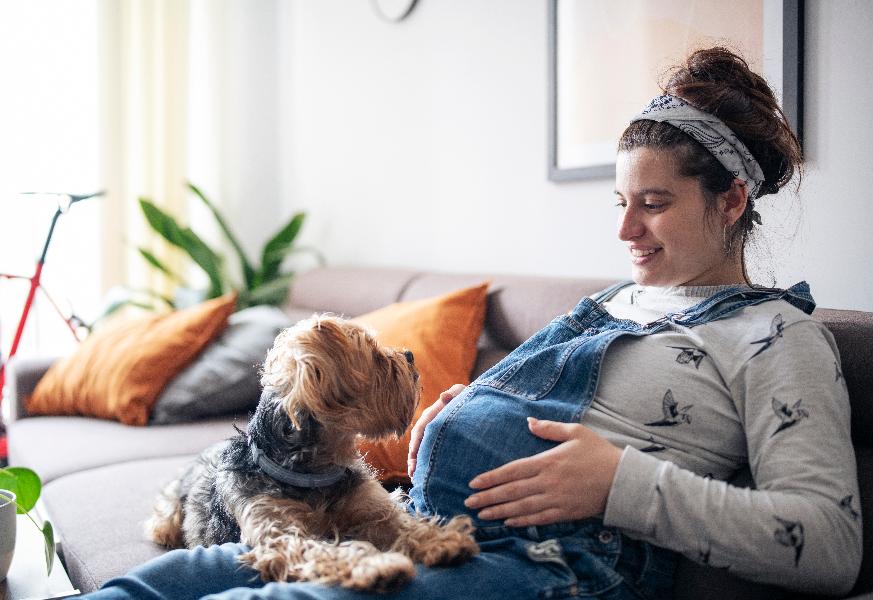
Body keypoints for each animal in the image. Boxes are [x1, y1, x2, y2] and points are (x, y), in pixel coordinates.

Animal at [146, 314, 480, 592]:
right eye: (373, 354)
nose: (410, 355)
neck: (314, 472)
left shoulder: (372, 509)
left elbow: (404, 523)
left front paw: (441, 539)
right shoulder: (280, 534)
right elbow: (325, 550)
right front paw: (376, 566)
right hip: (168, 518)